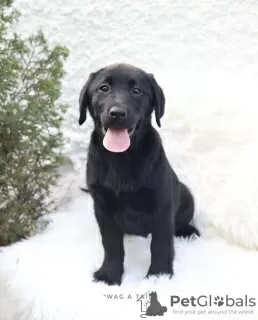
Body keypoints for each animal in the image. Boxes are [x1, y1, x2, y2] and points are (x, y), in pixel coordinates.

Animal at [78, 62, 200, 284]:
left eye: (136, 91)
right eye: (103, 88)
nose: (117, 113)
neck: (121, 158)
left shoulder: (162, 205)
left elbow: (160, 244)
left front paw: (159, 275)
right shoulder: (102, 208)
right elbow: (111, 245)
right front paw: (109, 274)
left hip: (186, 196)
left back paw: (188, 231)